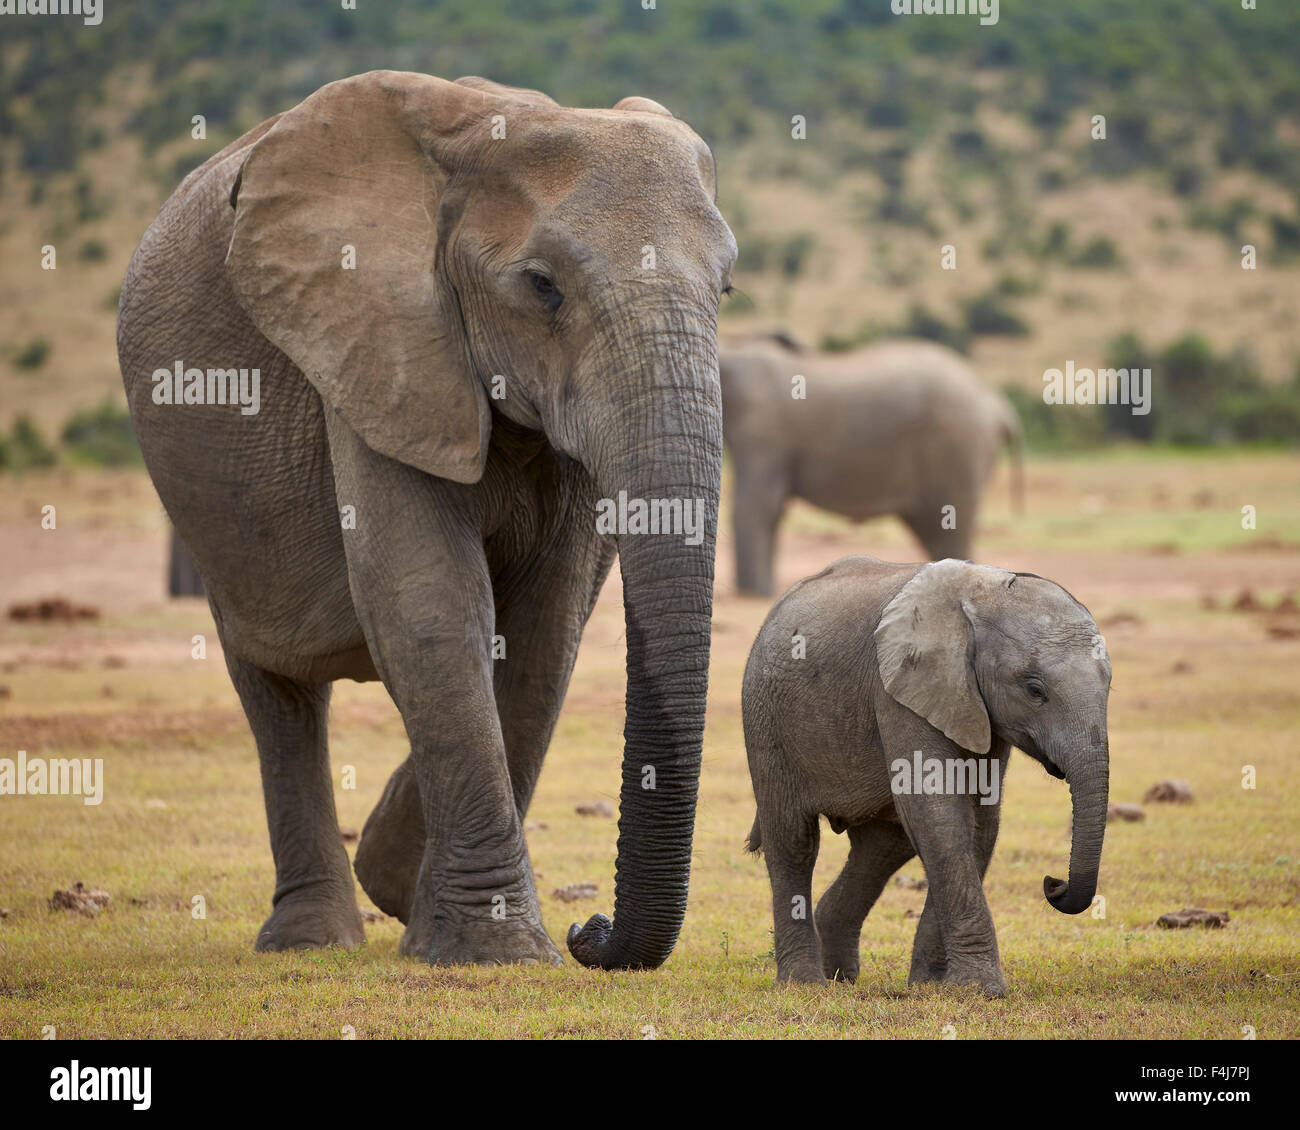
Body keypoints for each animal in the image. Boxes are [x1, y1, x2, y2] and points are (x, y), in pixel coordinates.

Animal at [116, 70, 738, 967]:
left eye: (726, 289)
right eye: (543, 286)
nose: (590, 929)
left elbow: (543, 631)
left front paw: (407, 885)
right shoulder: (375, 341)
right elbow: (431, 605)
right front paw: (494, 951)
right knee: (275, 689)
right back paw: (310, 941)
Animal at [717, 335, 1019, 600]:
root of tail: (998, 404)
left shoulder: (763, 429)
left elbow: (756, 507)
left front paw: (754, 596)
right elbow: (771, 510)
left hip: (957, 443)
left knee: (948, 527)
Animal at [748, 556, 1112, 998]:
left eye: (1109, 684)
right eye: (1034, 690)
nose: (1053, 884)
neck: (982, 594)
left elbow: (978, 824)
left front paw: (933, 986)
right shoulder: (899, 689)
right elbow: (939, 815)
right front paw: (981, 991)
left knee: (882, 849)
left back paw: (840, 976)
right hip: (766, 720)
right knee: (794, 841)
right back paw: (805, 984)